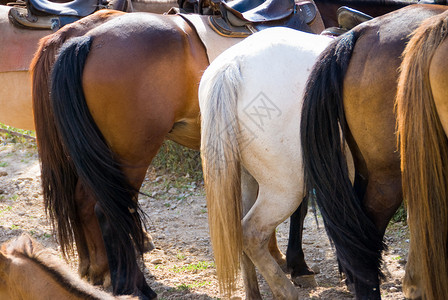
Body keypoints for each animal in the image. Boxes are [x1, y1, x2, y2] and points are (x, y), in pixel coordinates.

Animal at [200, 27, 332, 298]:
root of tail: (232, 66)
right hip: (285, 188)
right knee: (251, 234)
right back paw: (286, 291)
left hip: (245, 180)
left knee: (239, 231)